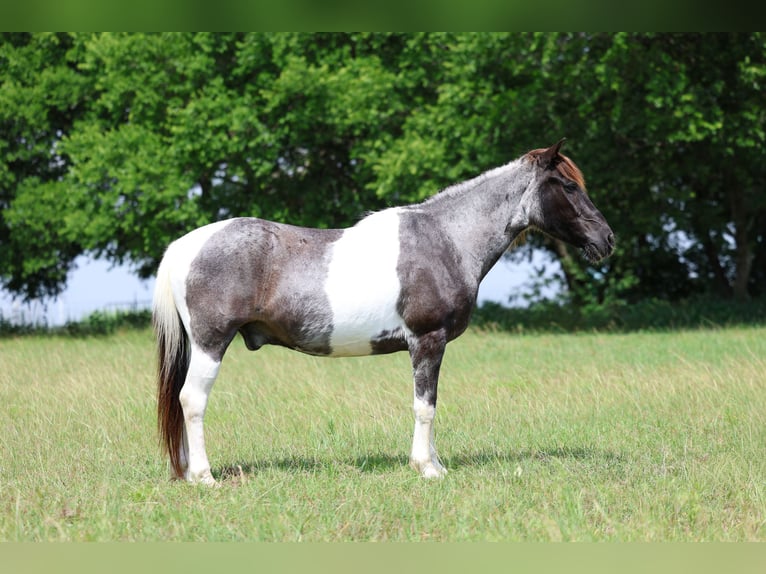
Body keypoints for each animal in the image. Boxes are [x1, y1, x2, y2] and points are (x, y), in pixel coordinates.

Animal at [153, 139, 615, 485]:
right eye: (568, 186)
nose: (607, 239)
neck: (448, 239)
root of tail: (184, 247)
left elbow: (430, 403)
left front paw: (436, 463)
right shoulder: (427, 340)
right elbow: (425, 405)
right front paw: (426, 468)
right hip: (211, 344)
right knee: (192, 400)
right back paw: (204, 476)